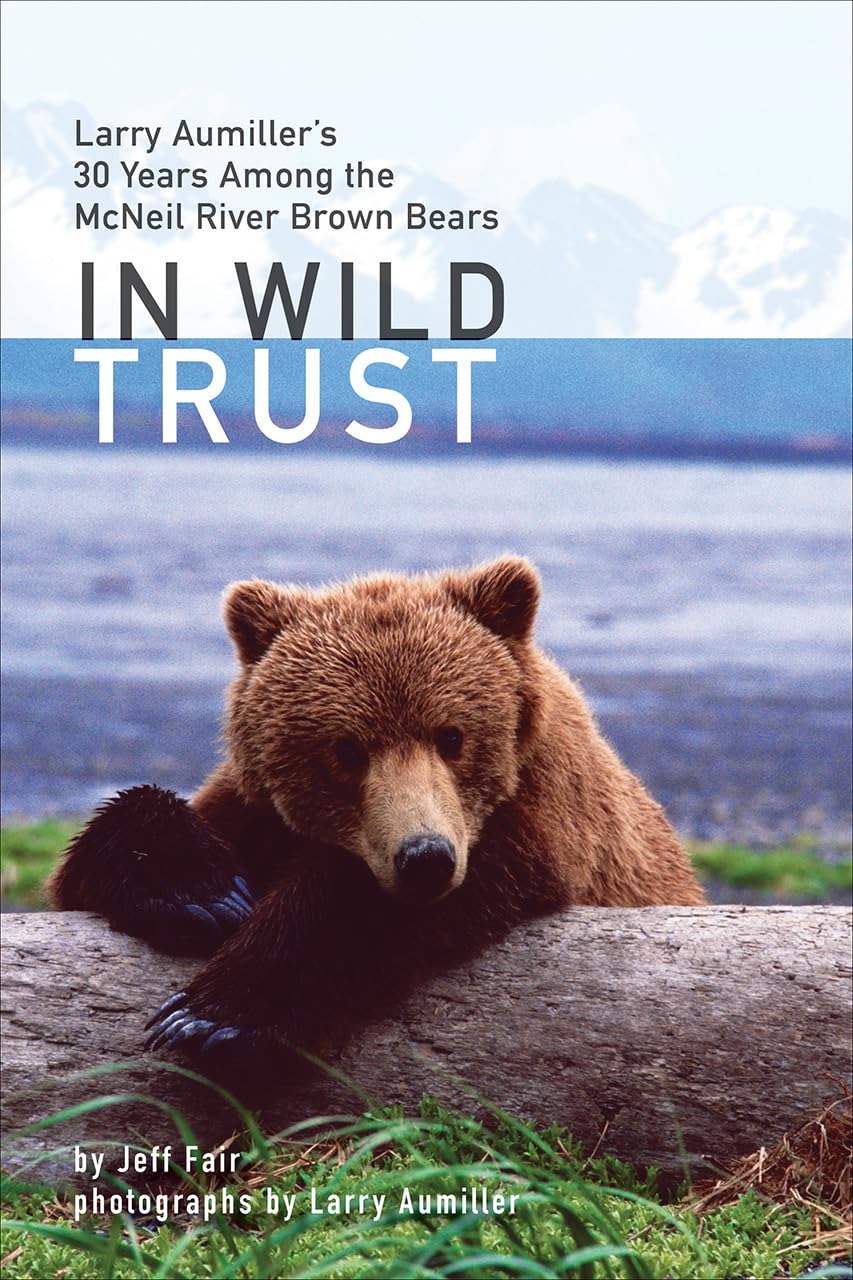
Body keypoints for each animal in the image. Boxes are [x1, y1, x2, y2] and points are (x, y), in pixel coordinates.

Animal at [48, 556, 705, 1077]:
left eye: (452, 735)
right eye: (346, 748)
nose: (425, 858)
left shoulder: (542, 821)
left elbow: (353, 900)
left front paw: (214, 1018)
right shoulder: (258, 808)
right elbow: (109, 850)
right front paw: (200, 893)